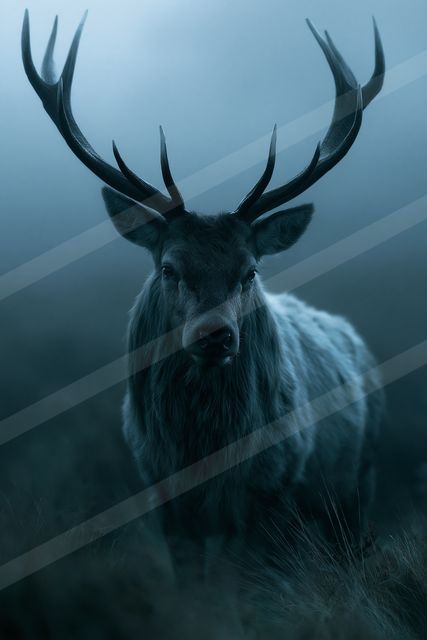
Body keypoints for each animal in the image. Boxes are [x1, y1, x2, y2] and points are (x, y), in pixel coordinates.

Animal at [22, 11, 385, 571]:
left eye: (250, 271)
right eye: (169, 267)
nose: (216, 337)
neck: (202, 456)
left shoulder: (275, 488)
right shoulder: (161, 493)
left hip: (357, 484)